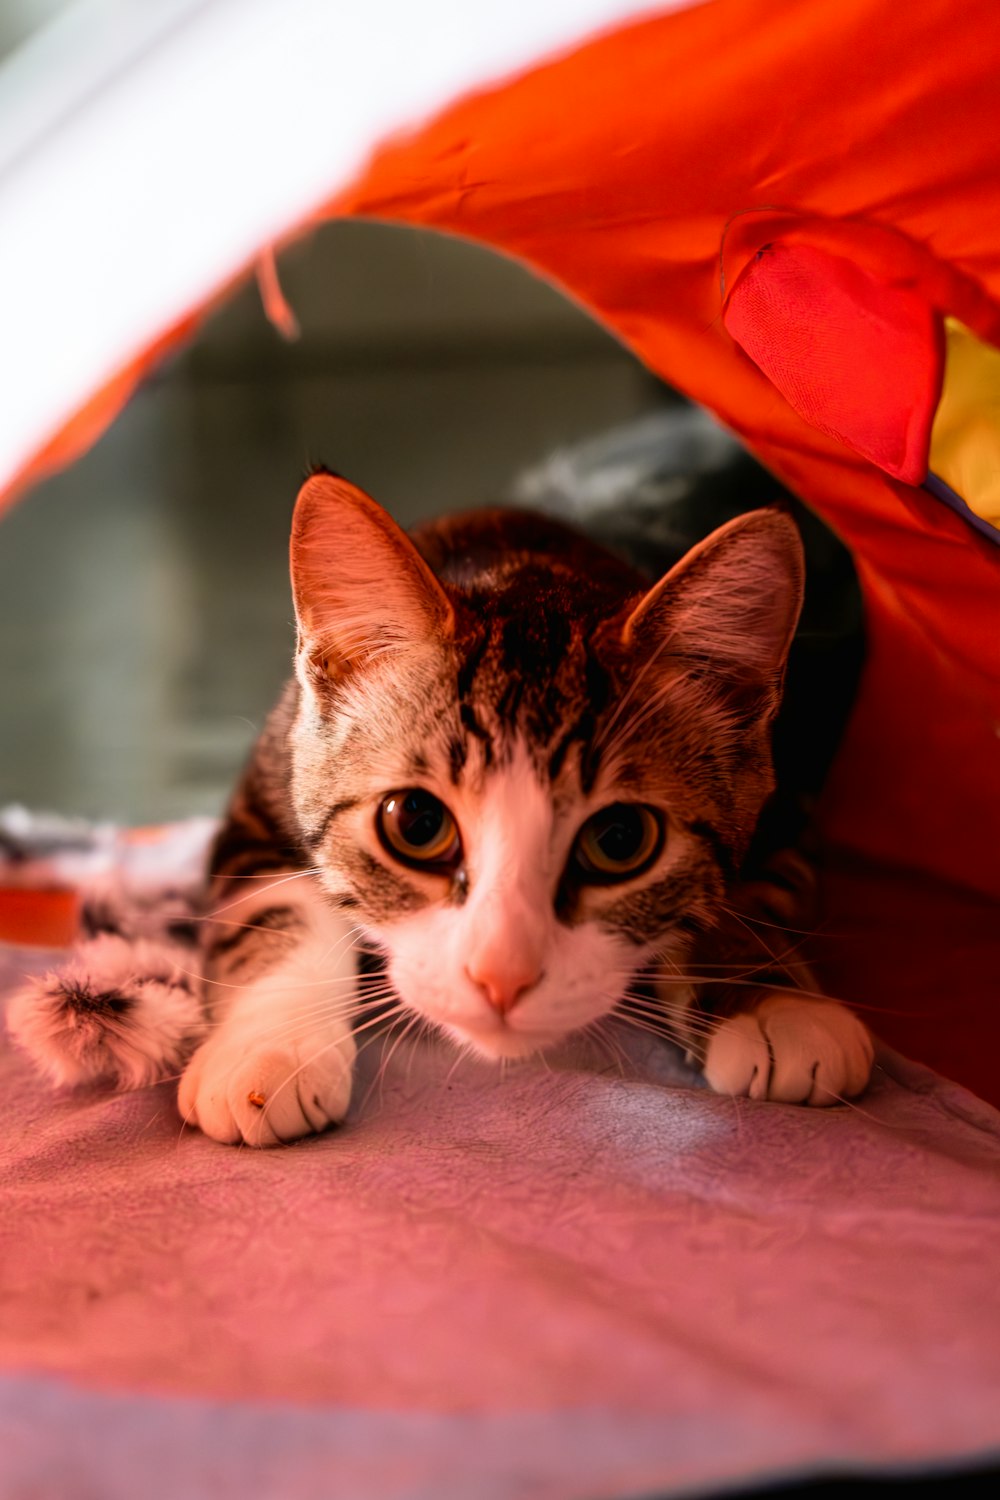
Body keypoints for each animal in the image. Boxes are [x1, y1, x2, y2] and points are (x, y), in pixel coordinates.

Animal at [7, 474, 869, 1140]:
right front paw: (269, 1051)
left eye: (622, 838)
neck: (529, 561)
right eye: (416, 825)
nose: (501, 976)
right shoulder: (265, 787)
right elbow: (282, 902)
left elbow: (748, 895)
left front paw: (775, 1004)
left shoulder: (790, 796)